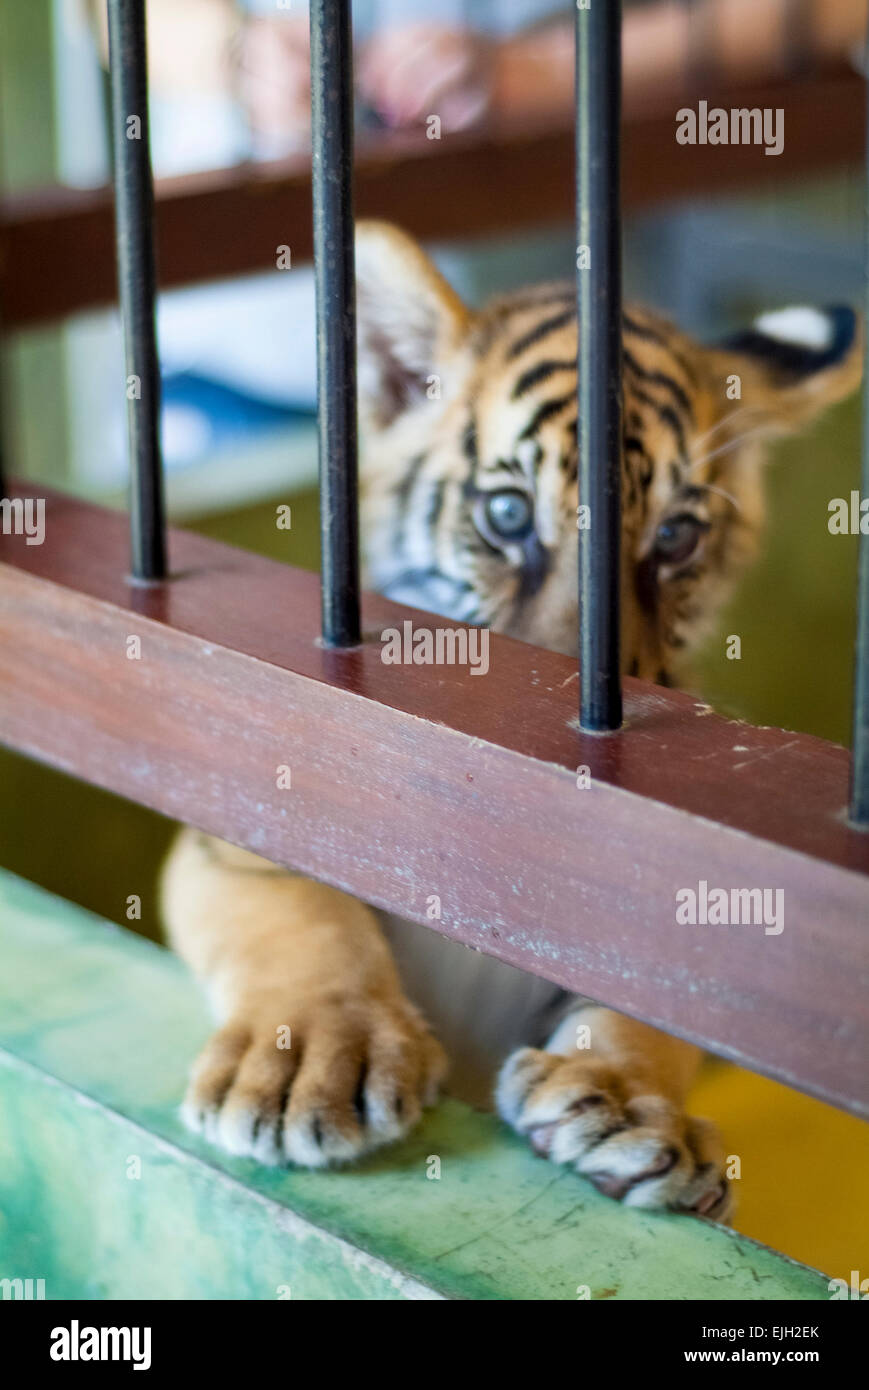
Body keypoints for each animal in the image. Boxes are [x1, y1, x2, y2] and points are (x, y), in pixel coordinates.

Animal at [162, 222, 861, 1221]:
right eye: (505, 512)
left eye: (675, 537)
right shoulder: (228, 815)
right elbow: (290, 908)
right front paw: (312, 1058)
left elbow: (652, 987)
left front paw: (629, 1102)